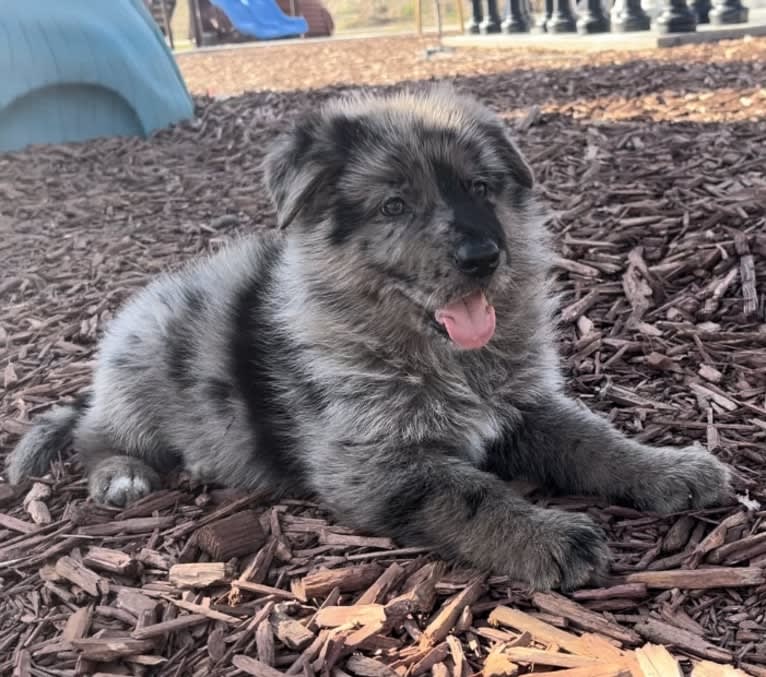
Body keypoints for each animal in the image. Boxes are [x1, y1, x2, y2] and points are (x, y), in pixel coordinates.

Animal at [7, 87, 736, 588]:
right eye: (394, 206)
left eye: (481, 188)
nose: (483, 256)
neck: (442, 356)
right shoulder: (371, 463)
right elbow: (468, 492)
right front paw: (548, 537)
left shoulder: (523, 406)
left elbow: (593, 440)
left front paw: (667, 469)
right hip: (143, 366)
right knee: (94, 434)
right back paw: (121, 474)